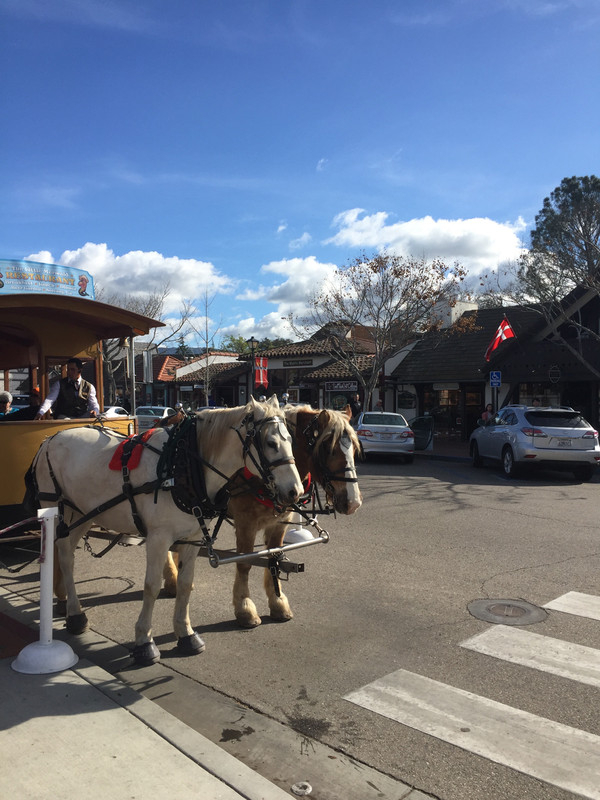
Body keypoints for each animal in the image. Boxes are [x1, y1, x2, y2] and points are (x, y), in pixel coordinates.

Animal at [25, 396, 302, 664]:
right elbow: (151, 586)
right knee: (64, 556)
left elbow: (186, 584)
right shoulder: (158, 539)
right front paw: (144, 641)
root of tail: (49, 439)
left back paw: (68, 607)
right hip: (57, 510)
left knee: (65, 554)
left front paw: (186, 634)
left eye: (291, 440)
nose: (295, 491)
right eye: (271, 443)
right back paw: (74, 613)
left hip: (82, 514)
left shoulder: (192, 538)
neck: (183, 466)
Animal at [162, 410, 364, 628]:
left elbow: (273, 558)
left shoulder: (279, 523)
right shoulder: (245, 524)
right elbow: (244, 563)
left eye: (354, 448)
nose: (353, 502)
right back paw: (172, 578)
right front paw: (245, 608)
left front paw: (278, 602)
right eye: (328, 448)